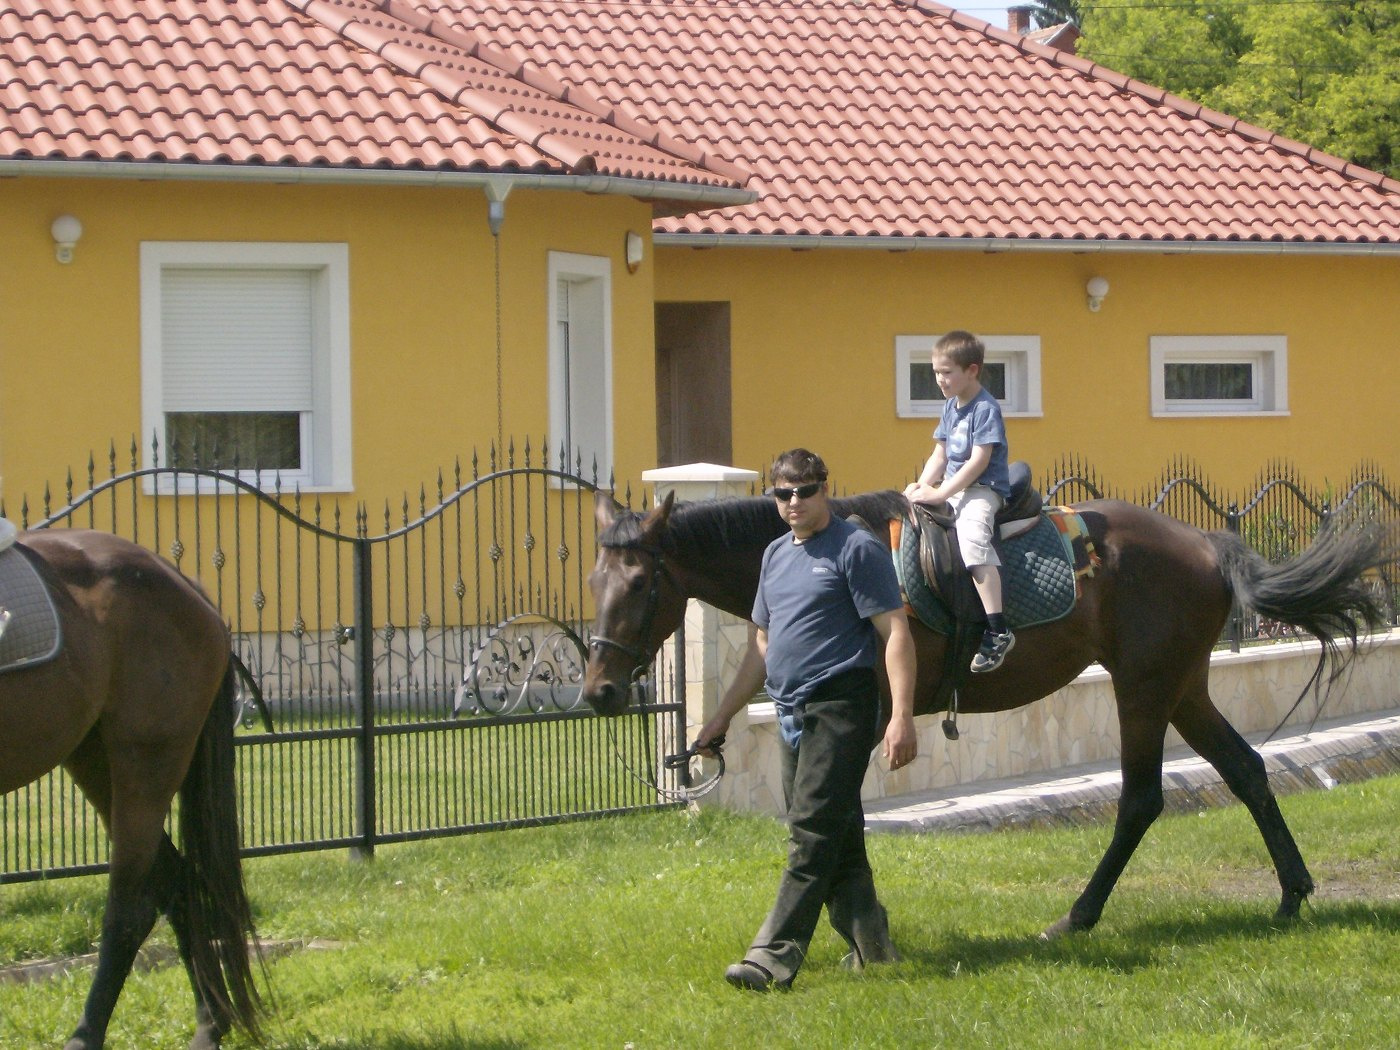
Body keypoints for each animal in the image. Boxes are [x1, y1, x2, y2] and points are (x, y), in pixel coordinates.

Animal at [0, 534, 263, 1050]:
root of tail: (183, 584)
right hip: (95, 760)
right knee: (177, 883)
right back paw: (210, 1021)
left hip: (145, 764)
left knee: (130, 910)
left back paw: (87, 1034)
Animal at [579, 490, 1388, 940]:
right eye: (594, 580)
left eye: (643, 583)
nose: (599, 691)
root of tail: (1207, 545)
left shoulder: (872, 718)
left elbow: (840, 816)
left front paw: (857, 925)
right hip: (1184, 687)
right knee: (1247, 771)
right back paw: (1291, 893)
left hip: (1144, 689)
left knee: (1141, 800)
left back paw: (1079, 915)